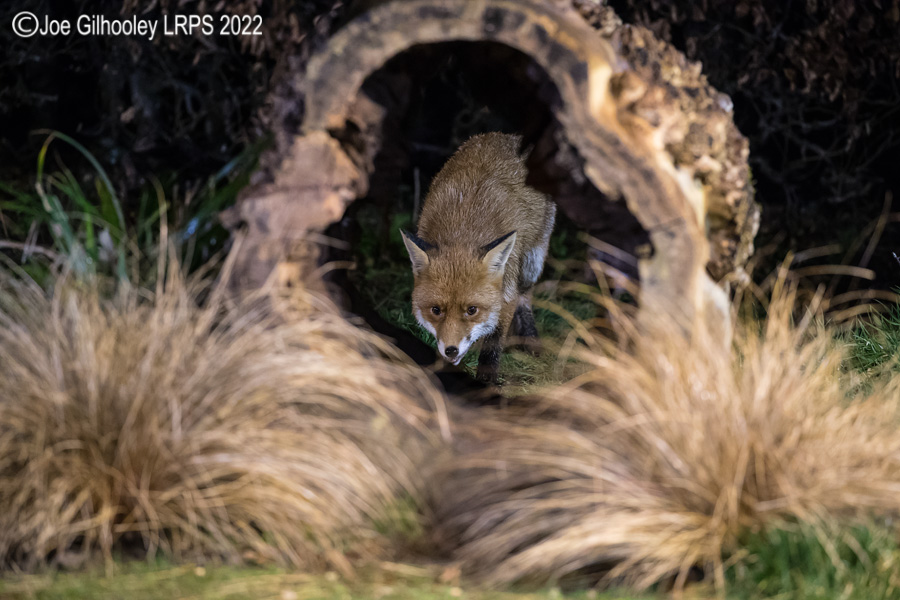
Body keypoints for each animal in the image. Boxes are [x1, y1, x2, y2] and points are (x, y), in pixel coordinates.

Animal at [400, 132, 556, 383]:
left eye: (472, 310)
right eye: (436, 310)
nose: (451, 350)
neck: (462, 229)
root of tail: (509, 136)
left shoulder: (506, 291)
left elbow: (493, 343)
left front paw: (487, 383)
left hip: (532, 263)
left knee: (526, 297)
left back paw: (531, 340)